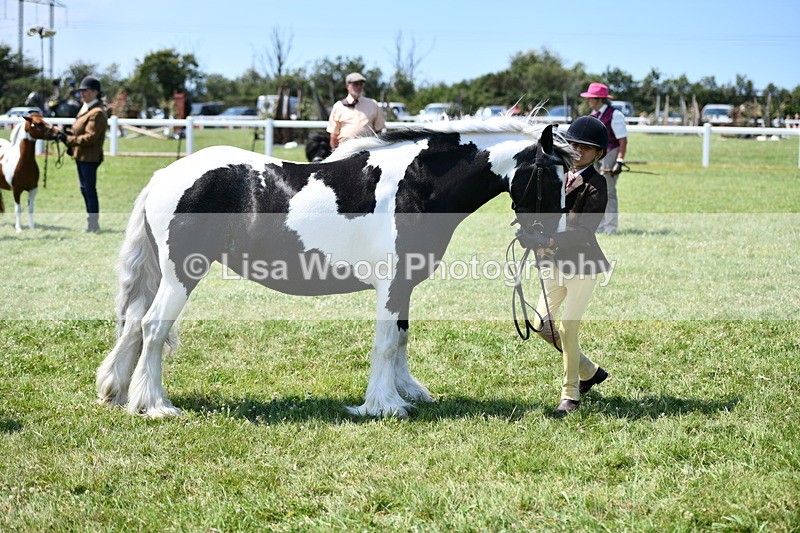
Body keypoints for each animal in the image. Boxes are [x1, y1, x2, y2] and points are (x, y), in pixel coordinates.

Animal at [96, 117, 572, 418]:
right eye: (551, 178)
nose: (553, 239)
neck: (416, 184)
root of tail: (164, 176)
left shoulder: (404, 286)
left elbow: (401, 339)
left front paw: (409, 393)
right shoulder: (390, 285)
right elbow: (385, 343)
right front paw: (383, 405)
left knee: (134, 323)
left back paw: (119, 393)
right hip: (182, 274)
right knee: (152, 328)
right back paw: (155, 405)